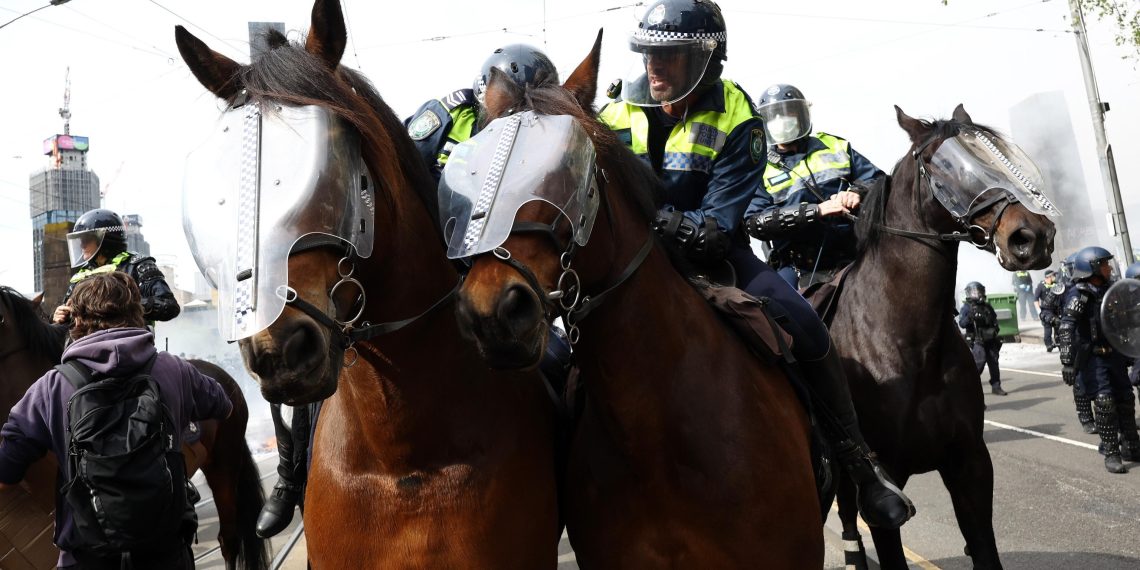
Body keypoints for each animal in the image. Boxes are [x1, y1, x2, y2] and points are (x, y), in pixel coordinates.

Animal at [815, 105, 1056, 570]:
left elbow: (983, 547)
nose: (1032, 236)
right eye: (943, 165)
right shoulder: (887, 488)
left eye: (996, 156)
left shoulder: (969, 465)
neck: (912, 346)